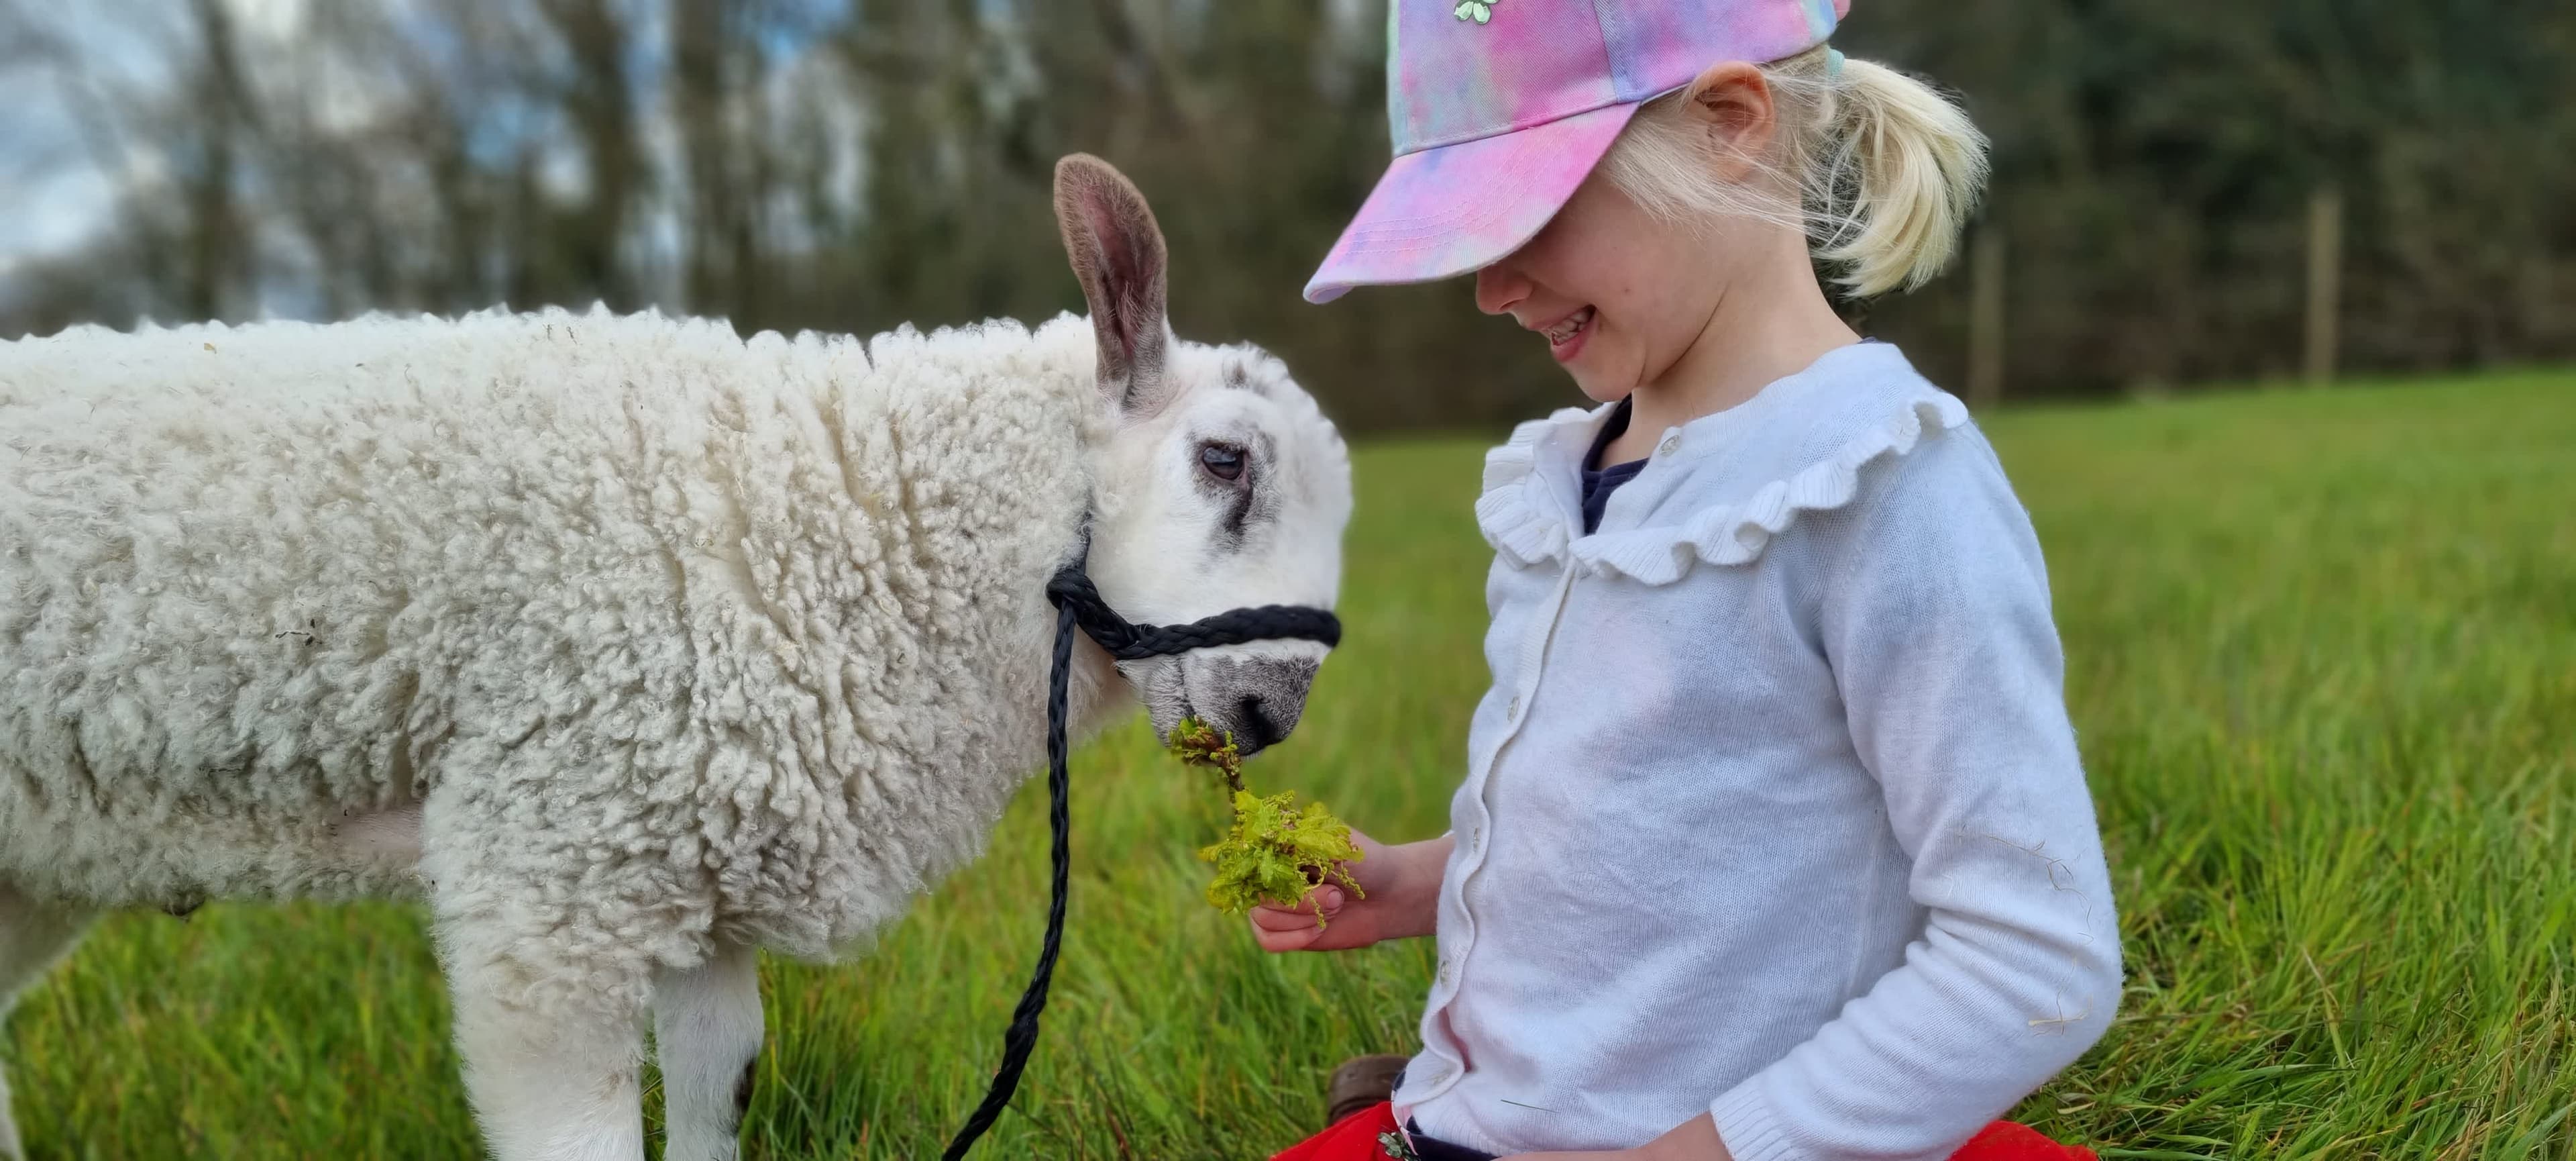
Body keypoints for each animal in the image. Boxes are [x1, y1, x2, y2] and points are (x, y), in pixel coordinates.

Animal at [0, 154, 1352, 1161]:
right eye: (1223, 461)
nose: (1269, 710)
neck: (846, 518)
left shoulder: (702, 866)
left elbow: (721, 1087)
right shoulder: (556, 879)